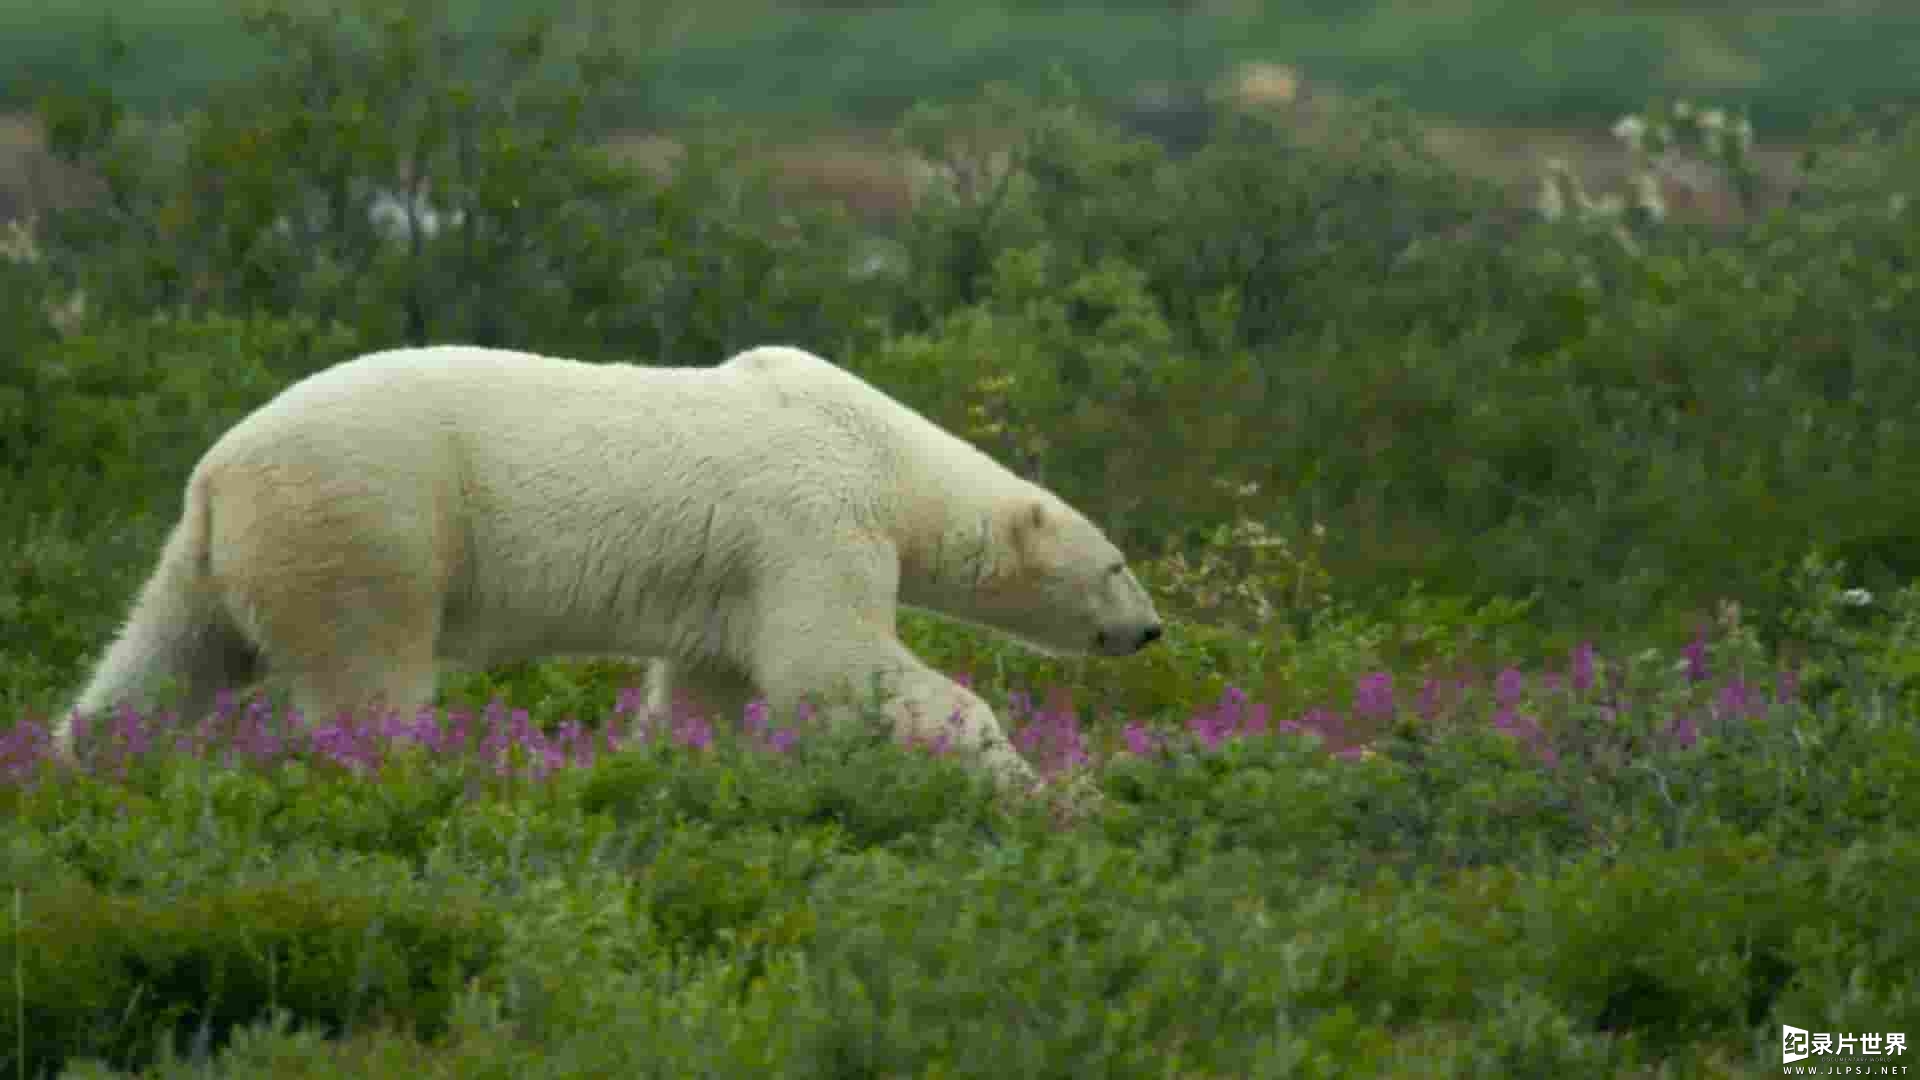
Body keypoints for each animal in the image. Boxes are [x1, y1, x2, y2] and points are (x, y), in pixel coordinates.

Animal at [60, 343, 1159, 780]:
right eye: (1115, 566)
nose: (1150, 630)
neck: (882, 449)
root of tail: (218, 470)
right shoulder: (811, 520)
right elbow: (830, 662)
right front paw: (1021, 777)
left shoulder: (736, 573)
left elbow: (709, 687)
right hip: (367, 522)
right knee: (365, 675)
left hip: (213, 561)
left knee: (158, 663)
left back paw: (77, 763)